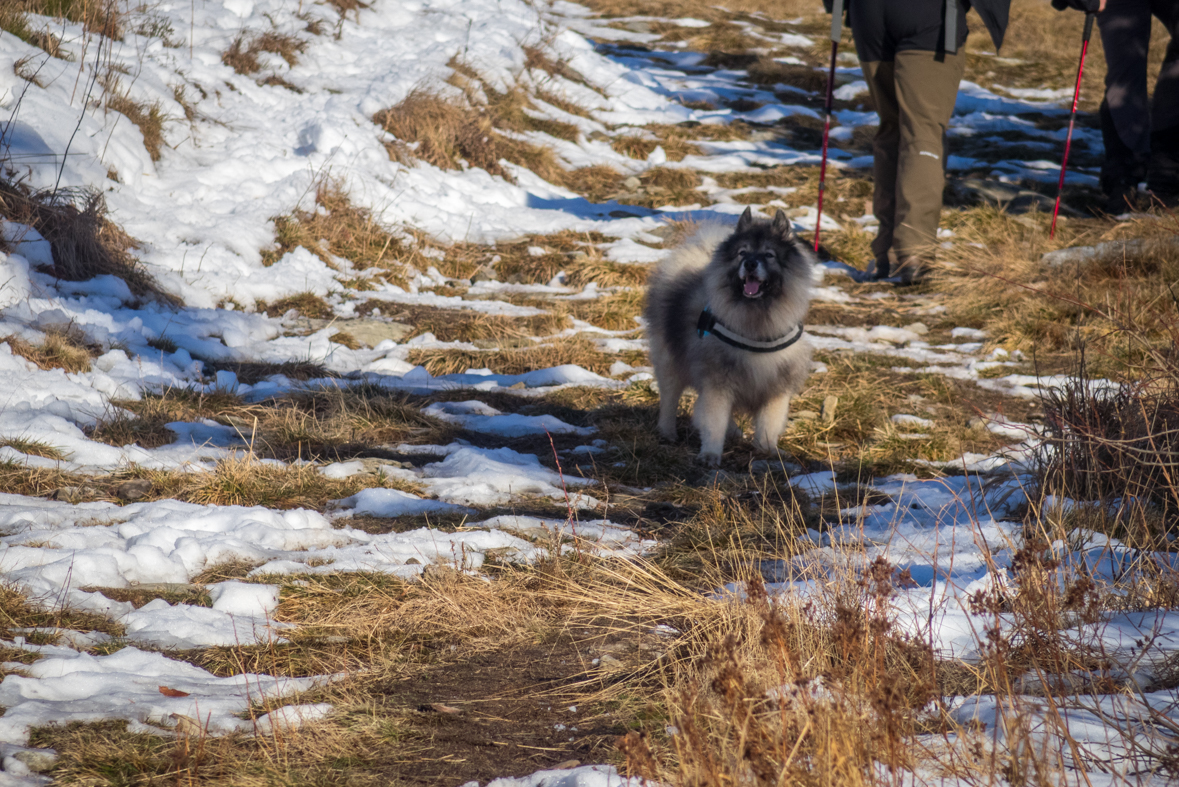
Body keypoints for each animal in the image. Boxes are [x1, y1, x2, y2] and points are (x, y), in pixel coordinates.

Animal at [646, 207, 811, 466]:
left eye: (769, 254)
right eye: (742, 252)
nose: (750, 263)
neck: (756, 324)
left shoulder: (775, 388)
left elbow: (769, 424)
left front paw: (767, 450)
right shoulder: (718, 382)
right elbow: (714, 422)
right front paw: (710, 454)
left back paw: (733, 433)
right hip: (670, 362)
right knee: (669, 399)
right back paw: (667, 432)